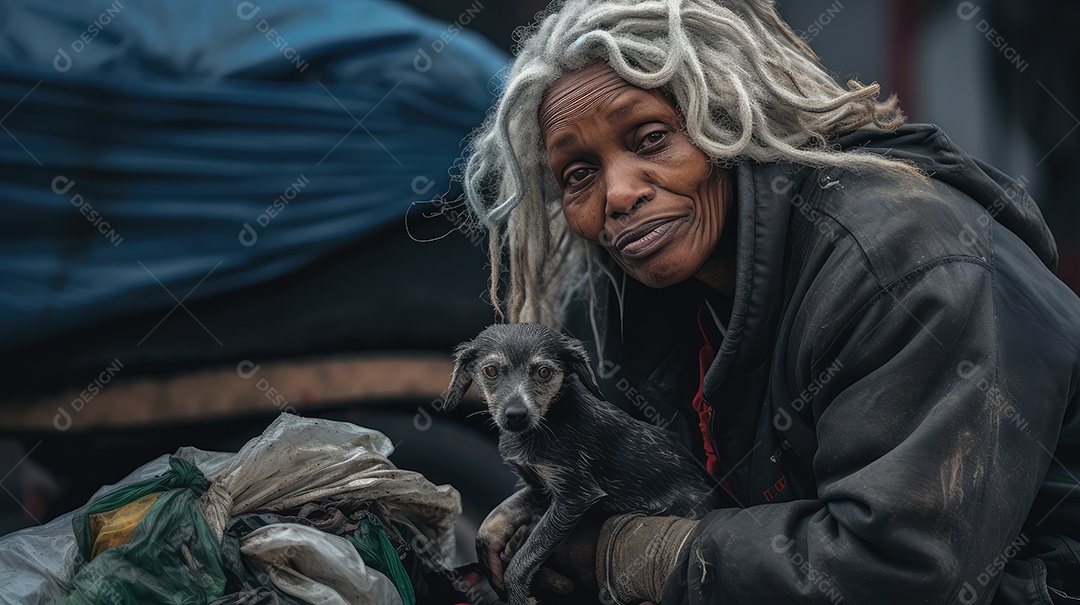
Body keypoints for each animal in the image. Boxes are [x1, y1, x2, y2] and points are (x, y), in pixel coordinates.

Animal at [442, 324, 721, 605]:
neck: (546, 423)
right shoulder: (538, 488)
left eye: (544, 372)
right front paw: (494, 573)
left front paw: (518, 593)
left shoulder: (575, 495)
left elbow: (526, 554)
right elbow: (490, 526)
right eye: (490, 371)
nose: (515, 416)